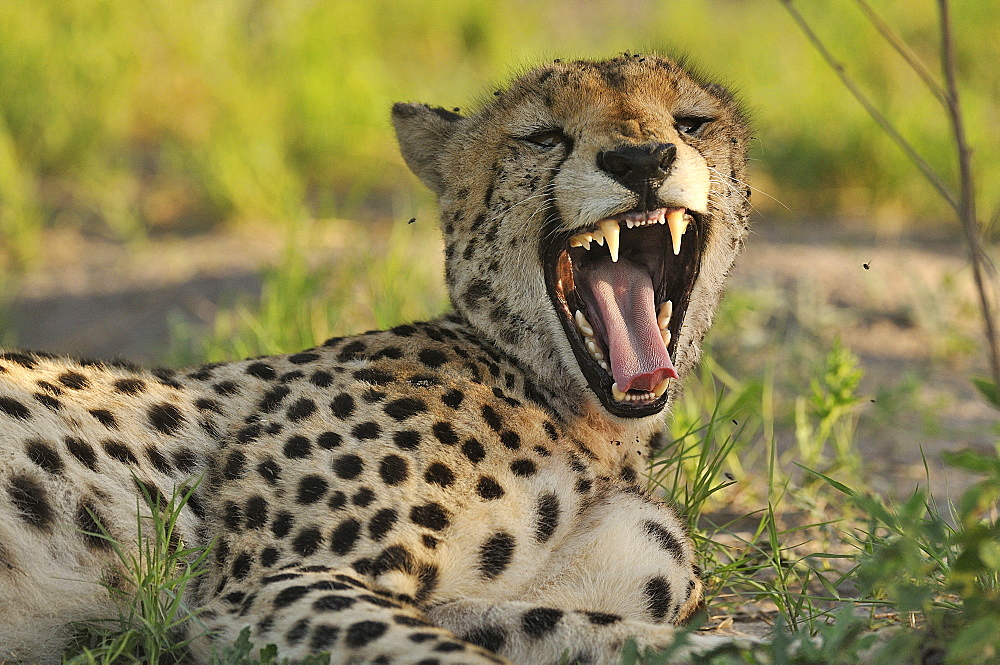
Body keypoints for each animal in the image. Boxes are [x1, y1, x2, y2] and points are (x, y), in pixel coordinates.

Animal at [0, 57, 752, 664]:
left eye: (691, 123)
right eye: (542, 136)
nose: (642, 160)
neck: (591, 422)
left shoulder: (476, 599)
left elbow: (585, 628)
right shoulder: (262, 588)